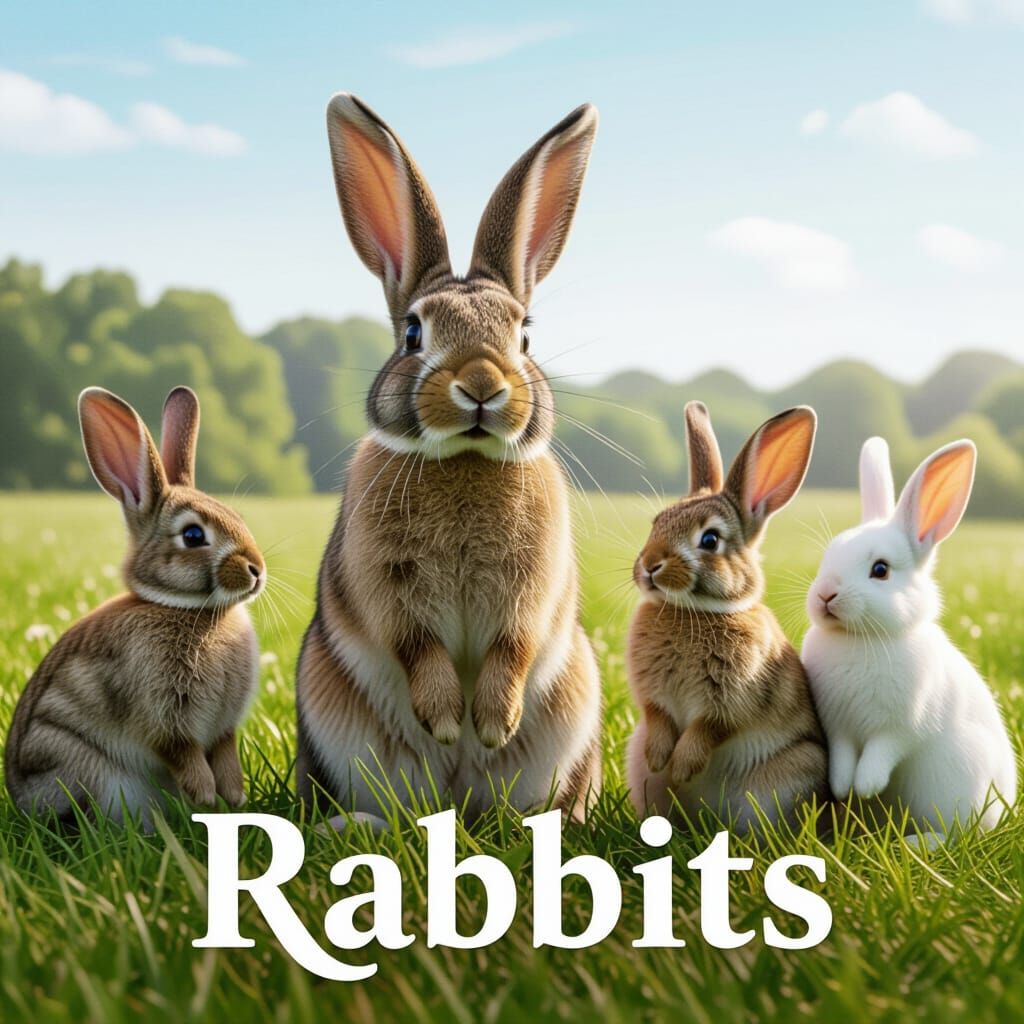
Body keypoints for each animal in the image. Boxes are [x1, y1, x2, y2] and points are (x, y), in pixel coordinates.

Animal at [4, 386, 266, 826]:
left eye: (238, 516)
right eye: (193, 535)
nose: (257, 569)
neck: (186, 608)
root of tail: (21, 802)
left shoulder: (223, 728)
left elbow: (226, 754)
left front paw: (233, 798)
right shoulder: (164, 719)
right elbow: (182, 754)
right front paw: (206, 796)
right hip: (80, 767)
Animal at [295, 94, 603, 822]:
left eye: (524, 335)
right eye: (413, 332)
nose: (483, 385)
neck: (465, 459)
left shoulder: (532, 588)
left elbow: (516, 645)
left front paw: (491, 725)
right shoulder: (386, 583)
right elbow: (416, 645)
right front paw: (443, 720)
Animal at [625, 402, 830, 832]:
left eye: (710, 540)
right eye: (657, 523)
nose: (650, 566)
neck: (694, 611)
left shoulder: (733, 698)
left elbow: (710, 728)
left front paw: (683, 767)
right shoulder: (653, 698)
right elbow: (658, 718)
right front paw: (661, 759)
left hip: (796, 769)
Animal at [802, 436, 1017, 837]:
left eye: (880, 570)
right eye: (828, 556)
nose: (825, 594)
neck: (860, 639)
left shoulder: (902, 726)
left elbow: (883, 752)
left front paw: (865, 786)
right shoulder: (838, 726)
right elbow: (842, 756)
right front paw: (842, 786)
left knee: (956, 833)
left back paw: (918, 842)